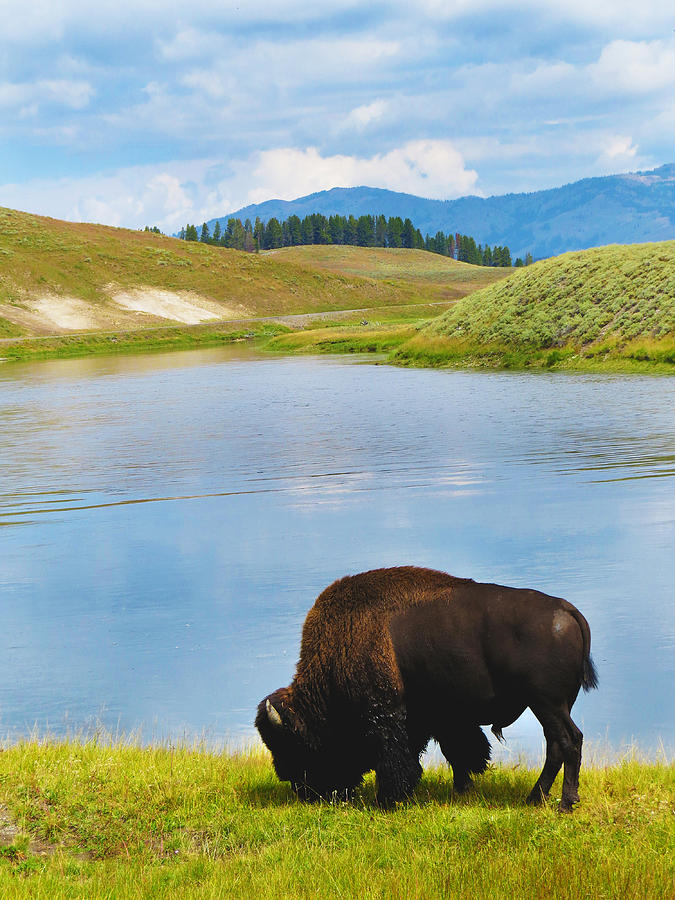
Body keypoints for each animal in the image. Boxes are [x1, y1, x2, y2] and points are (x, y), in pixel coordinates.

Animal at [256, 568, 600, 812]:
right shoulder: (441, 718)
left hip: (547, 704)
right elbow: (458, 752)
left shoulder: (387, 717)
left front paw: (388, 800)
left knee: (569, 741)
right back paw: (535, 798)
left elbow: (398, 759)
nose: (302, 791)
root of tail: (566, 611)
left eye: (294, 744)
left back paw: (565, 803)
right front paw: (461, 789)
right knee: (555, 746)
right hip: (551, 706)